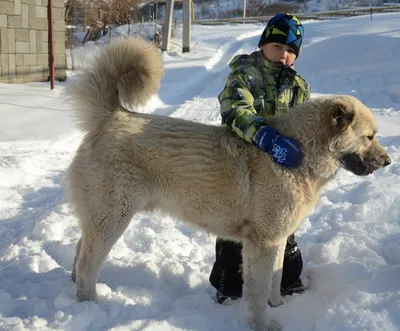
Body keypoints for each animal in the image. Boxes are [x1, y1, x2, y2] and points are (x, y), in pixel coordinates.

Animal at [66, 37, 390, 330]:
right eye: (369, 136)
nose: (388, 161)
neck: (297, 153)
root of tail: (111, 115)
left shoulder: (277, 240)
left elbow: (275, 279)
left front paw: (279, 306)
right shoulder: (262, 242)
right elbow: (258, 292)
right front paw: (263, 324)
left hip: (103, 218)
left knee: (81, 250)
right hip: (113, 216)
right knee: (88, 261)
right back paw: (89, 303)